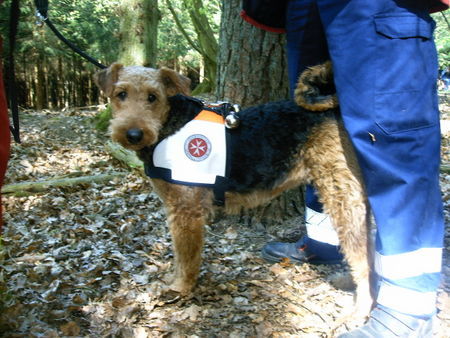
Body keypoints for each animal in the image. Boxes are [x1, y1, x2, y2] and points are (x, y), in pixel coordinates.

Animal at [94, 62, 372, 316]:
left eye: (152, 96)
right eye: (121, 94)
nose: (133, 134)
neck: (169, 124)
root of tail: (333, 111)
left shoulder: (186, 210)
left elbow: (186, 257)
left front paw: (179, 288)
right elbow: (179, 256)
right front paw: (174, 281)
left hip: (341, 194)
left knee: (363, 257)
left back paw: (360, 310)